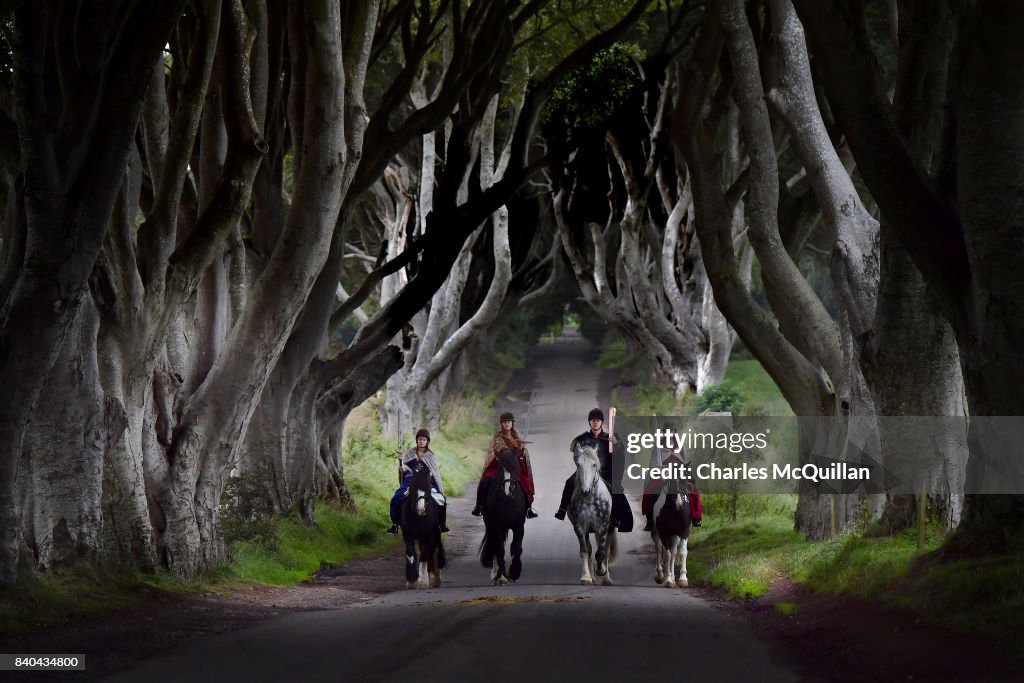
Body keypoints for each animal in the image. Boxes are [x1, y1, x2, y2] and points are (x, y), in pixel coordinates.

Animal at [479, 446, 528, 585]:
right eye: (501, 468)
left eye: (517, 468)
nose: (510, 490)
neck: (507, 502)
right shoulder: (495, 526)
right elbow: (500, 549)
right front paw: (501, 576)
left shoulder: (519, 526)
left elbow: (516, 547)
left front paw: (514, 572)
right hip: (491, 525)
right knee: (496, 546)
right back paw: (497, 575)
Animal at [569, 444, 614, 589]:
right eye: (578, 464)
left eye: (594, 464)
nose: (585, 491)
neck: (590, 499)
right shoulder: (580, 528)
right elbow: (584, 551)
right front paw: (586, 578)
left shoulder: (603, 527)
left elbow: (601, 553)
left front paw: (601, 570)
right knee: (589, 549)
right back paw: (593, 576)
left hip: (610, 529)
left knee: (606, 551)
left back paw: (606, 578)